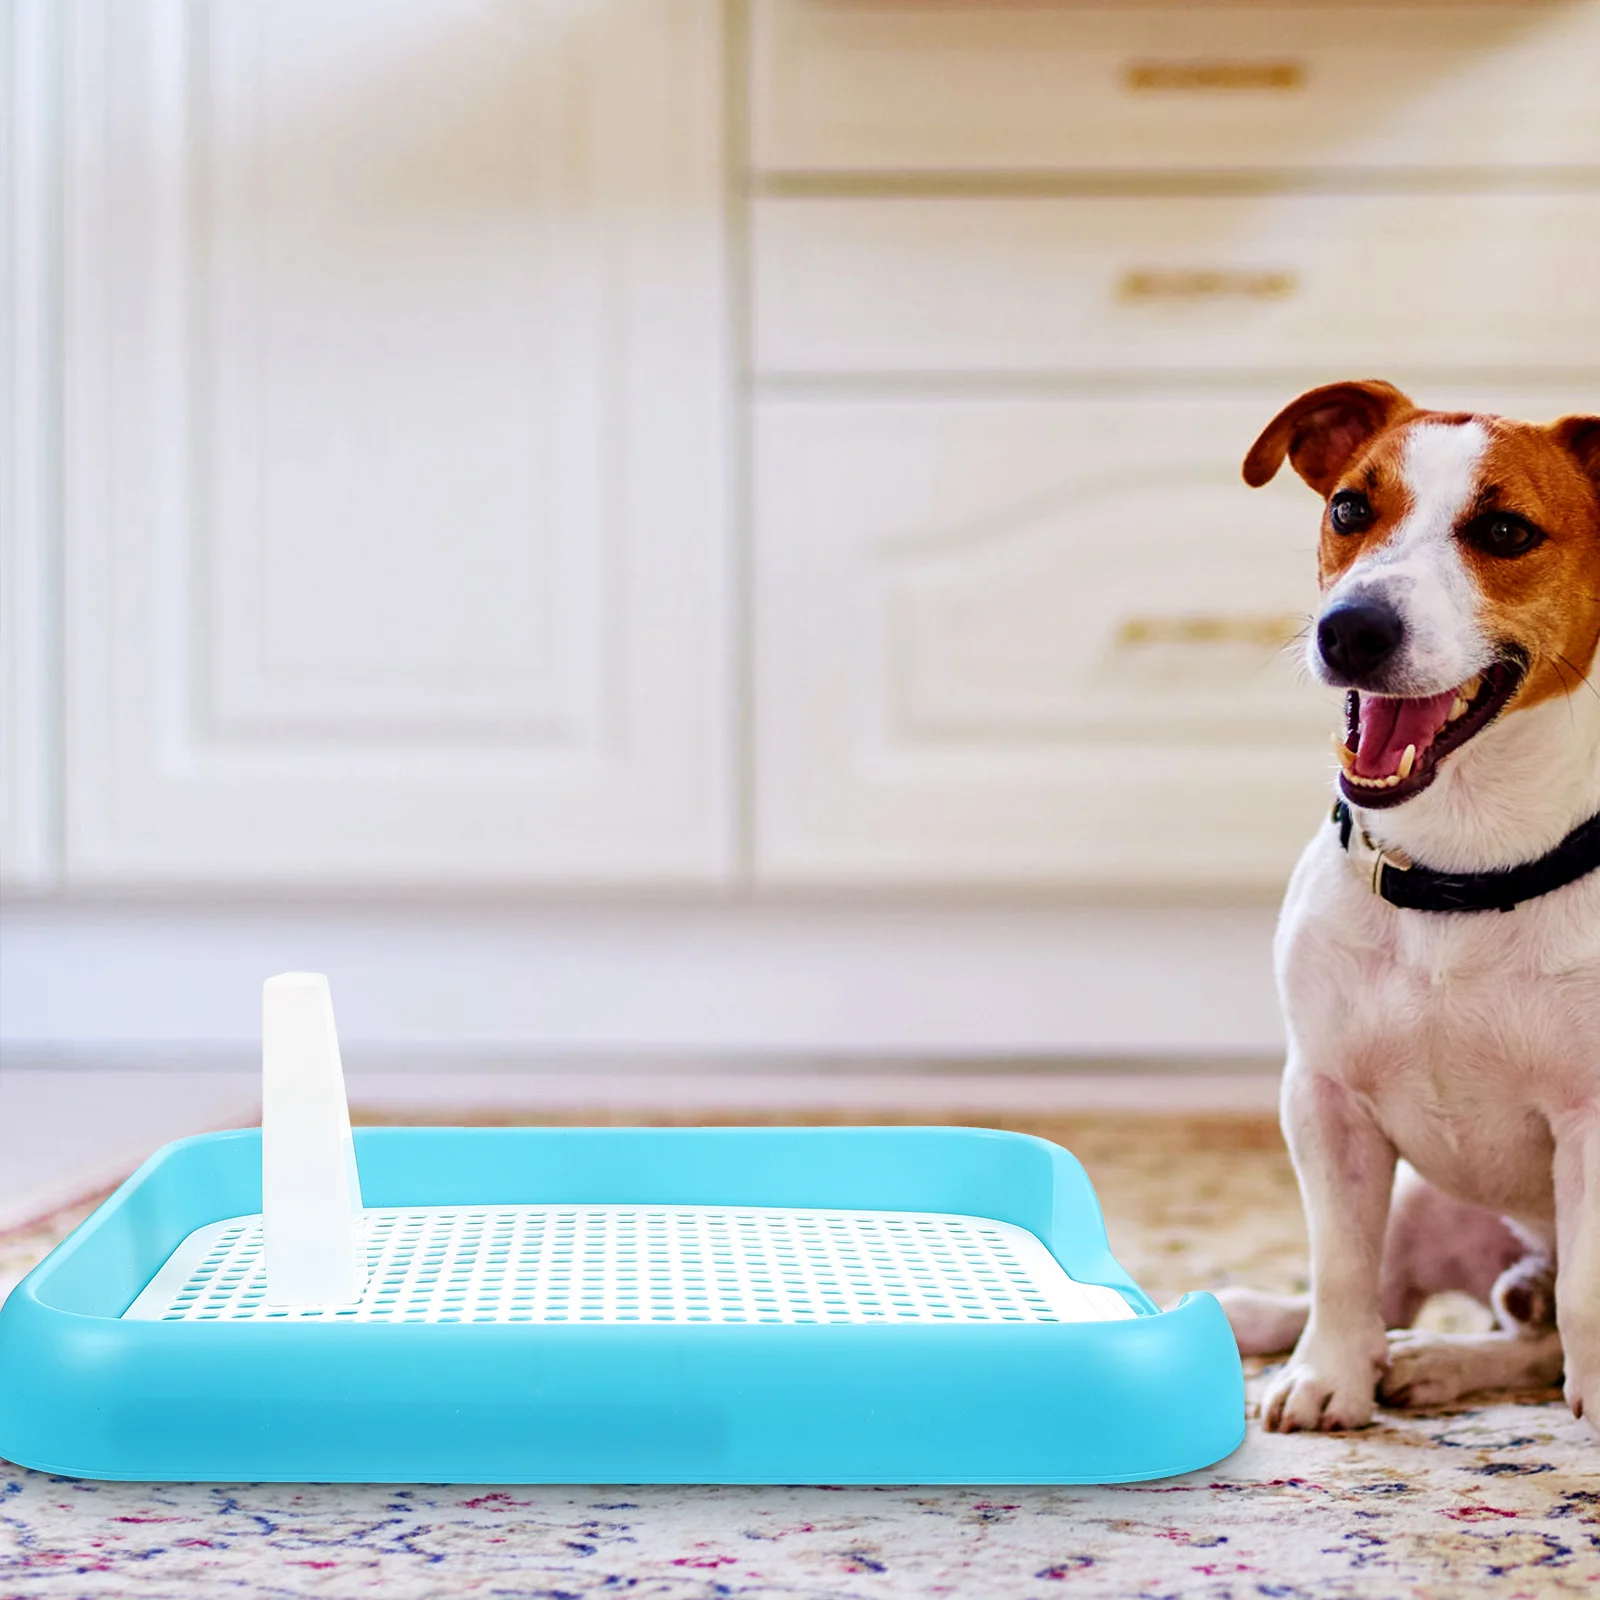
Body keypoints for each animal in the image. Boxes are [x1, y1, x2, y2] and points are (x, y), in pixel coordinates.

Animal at [1209, 380, 1600, 1433]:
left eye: (1505, 531)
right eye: (1350, 508)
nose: (1351, 629)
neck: (1460, 868)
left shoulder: (1594, 1126)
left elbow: (1589, 1297)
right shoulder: (1325, 1100)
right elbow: (1341, 1264)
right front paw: (1326, 1379)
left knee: (1544, 1330)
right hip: (1426, 1193)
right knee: (1398, 1296)